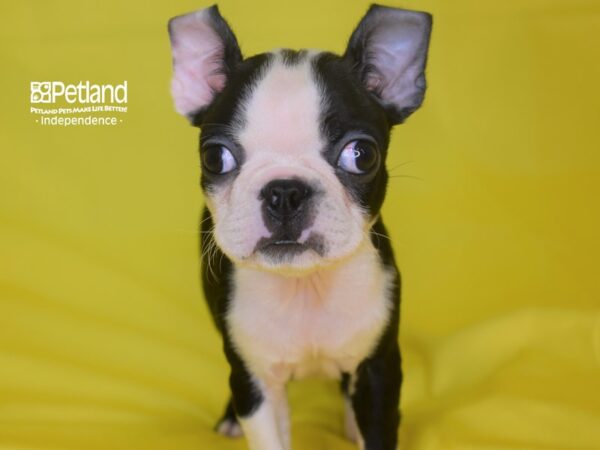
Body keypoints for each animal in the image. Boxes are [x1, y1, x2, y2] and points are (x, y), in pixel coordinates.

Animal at [168, 4, 432, 450]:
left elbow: (376, 425)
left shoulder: (380, 370)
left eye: (361, 155)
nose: (284, 191)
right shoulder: (254, 379)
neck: (306, 285)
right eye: (215, 157)